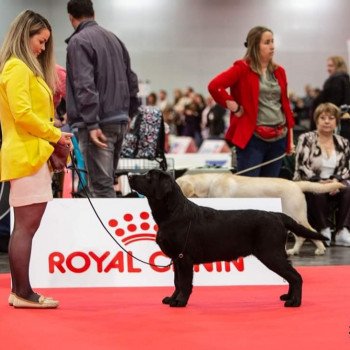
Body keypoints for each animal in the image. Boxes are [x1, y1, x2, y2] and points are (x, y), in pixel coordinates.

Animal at [128, 170, 326, 308]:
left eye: (149, 176)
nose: (129, 176)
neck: (174, 213)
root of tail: (277, 215)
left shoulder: (184, 258)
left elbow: (184, 283)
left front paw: (180, 302)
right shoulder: (177, 259)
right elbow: (177, 282)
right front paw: (172, 299)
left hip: (271, 254)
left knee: (296, 276)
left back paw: (294, 302)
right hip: (276, 253)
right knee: (292, 274)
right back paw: (289, 296)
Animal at [175, 174, 344, 256]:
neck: (209, 183)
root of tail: (296, 184)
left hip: (296, 214)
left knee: (311, 231)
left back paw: (320, 249)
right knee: (301, 236)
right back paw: (293, 251)